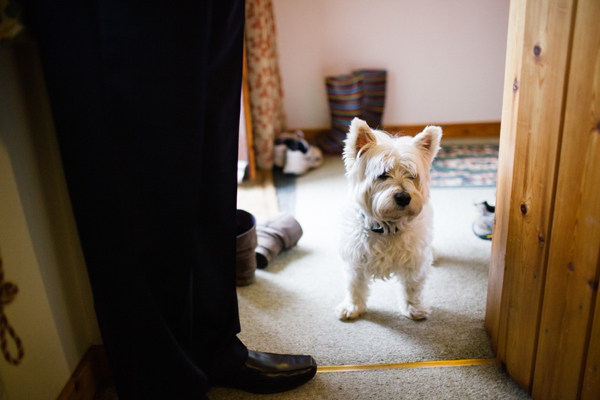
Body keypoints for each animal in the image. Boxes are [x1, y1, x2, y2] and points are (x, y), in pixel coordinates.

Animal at [336, 117, 442, 320]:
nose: (404, 198)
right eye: (383, 174)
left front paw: (414, 308)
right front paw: (352, 307)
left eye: (412, 175)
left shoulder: (414, 262)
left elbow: (412, 287)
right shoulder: (356, 259)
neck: (387, 226)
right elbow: (355, 286)